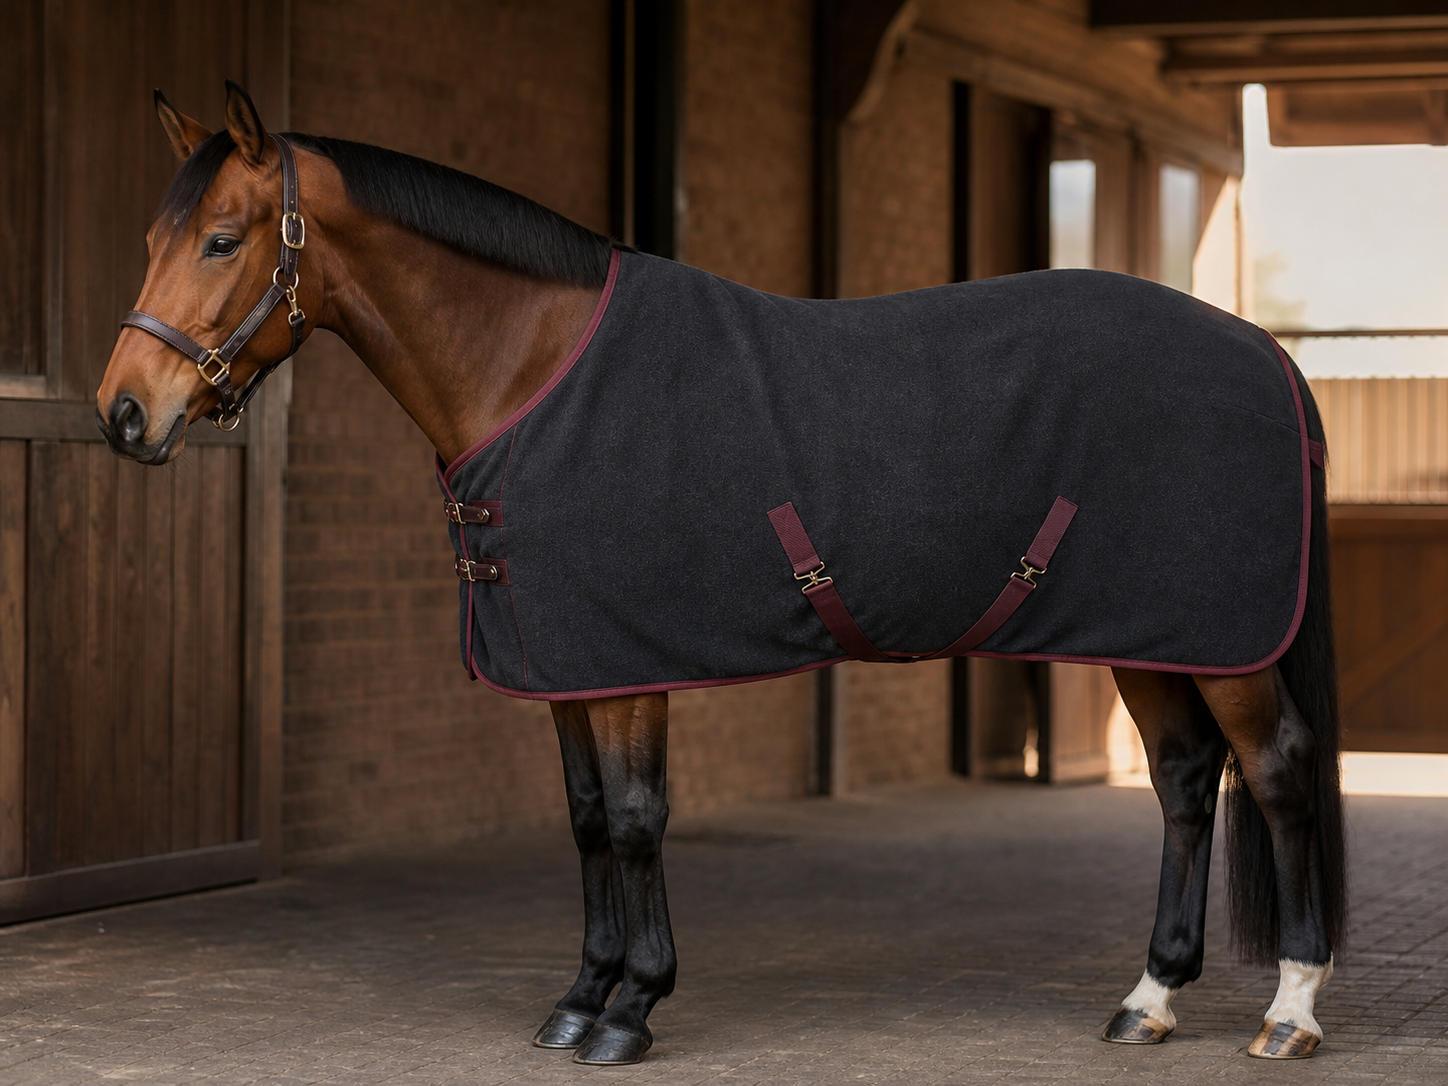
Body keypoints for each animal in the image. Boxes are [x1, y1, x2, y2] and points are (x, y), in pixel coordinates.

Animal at [98, 81, 1346, 1066]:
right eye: (153, 240)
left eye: (222, 239)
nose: (124, 415)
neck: (535, 371)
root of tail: (1265, 355)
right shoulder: (569, 664)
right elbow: (586, 820)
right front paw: (579, 998)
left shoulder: (628, 663)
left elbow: (637, 818)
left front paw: (631, 1012)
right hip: (1149, 635)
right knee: (1184, 781)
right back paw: (1148, 999)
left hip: (1222, 644)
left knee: (1275, 771)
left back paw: (1287, 1010)